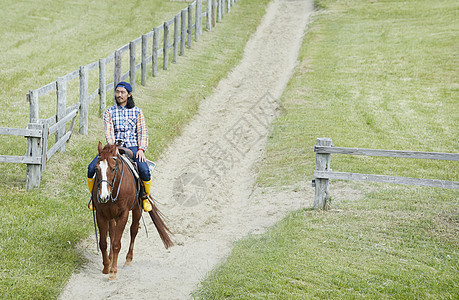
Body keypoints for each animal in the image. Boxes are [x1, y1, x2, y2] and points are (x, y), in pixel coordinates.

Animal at [90, 142, 173, 280]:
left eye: (113, 169)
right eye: (97, 169)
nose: (103, 196)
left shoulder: (123, 214)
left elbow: (117, 243)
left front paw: (113, 272)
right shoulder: (101, 214)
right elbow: (103, 243)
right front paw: (106, 267)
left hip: (137, 209)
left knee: (133, 230)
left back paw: (128, 260)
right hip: (111, 215)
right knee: (112, 234)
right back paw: (111, 259)